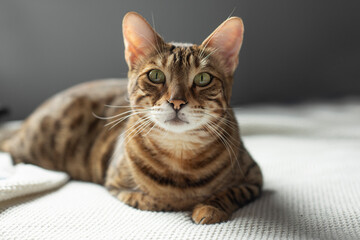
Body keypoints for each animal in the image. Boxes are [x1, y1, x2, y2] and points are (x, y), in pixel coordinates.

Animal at [1, 11, 262, 225]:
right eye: (156, 75)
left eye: (203, 79)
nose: (177, 102)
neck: (180, 155)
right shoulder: (116, 185)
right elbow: (155, 200)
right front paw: (180, 201)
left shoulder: (255, 179)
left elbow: (232, 192)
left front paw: (208, 208)